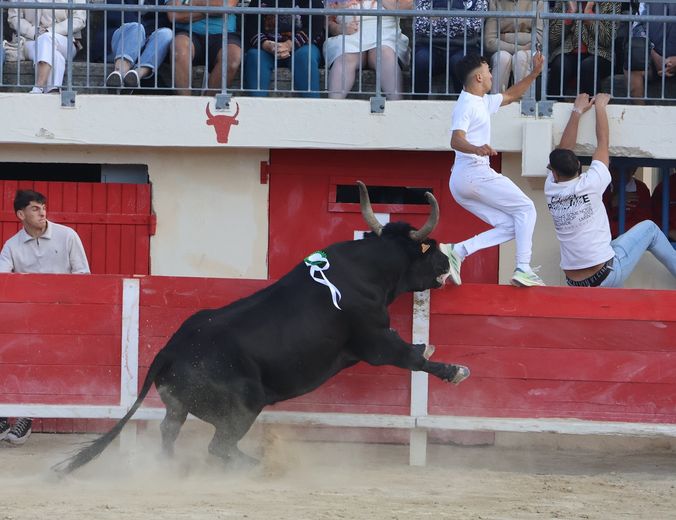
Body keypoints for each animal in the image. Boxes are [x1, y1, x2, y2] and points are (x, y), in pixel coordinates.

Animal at [56, 181, 470, 474]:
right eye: (428, 247)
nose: (445, 264)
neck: (366, 271)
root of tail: (168, 351)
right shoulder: (376, 342)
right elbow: (413, 357)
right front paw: (456, 370)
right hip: (246, 403)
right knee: (219, 446)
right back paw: (262, 465)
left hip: (181, 406)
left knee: (170, 432)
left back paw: (173, 467)